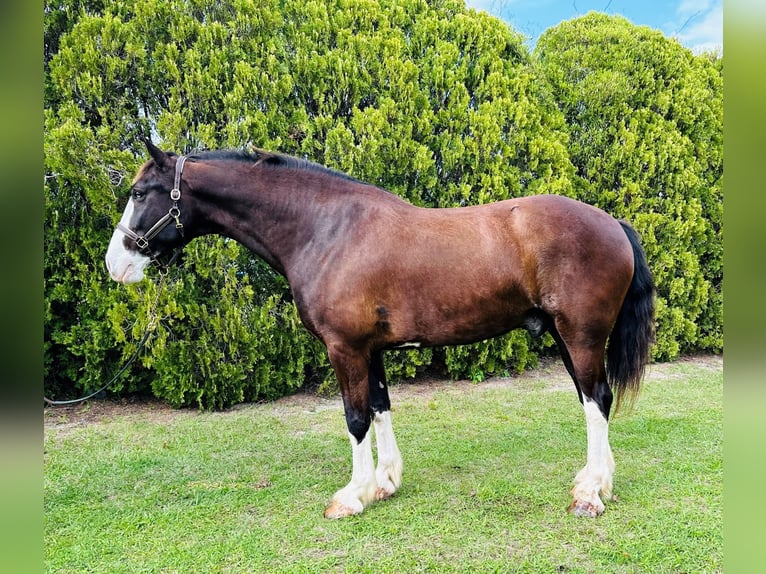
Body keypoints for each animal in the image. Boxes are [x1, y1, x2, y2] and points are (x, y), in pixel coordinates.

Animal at [105, 141, 656, 520]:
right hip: (567, 337)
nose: (116, 264)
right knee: (595, 400)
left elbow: (354, 418)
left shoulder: (344, 348)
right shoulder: (370, 350)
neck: (327, 230)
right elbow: (379, 408)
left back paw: (590, 494)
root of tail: (612, 223)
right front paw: (385, 483)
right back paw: (595, 482)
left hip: (581, 336)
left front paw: (352, 496)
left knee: (596, 399)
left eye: (139, 193)